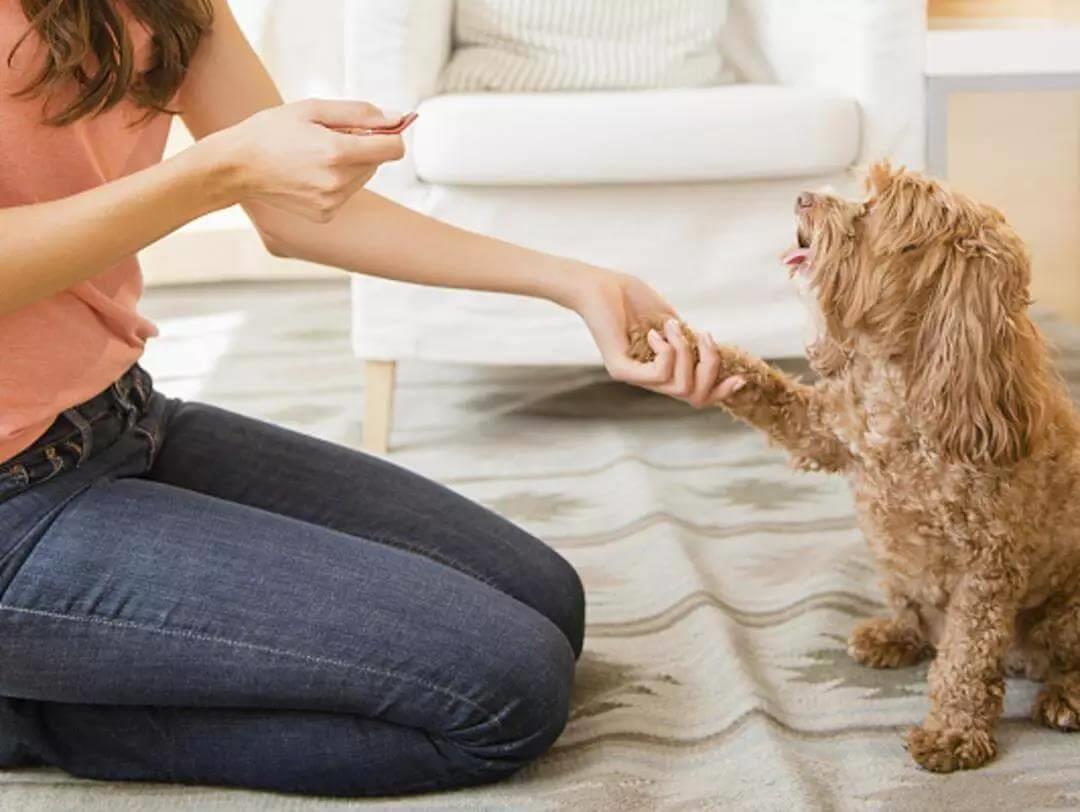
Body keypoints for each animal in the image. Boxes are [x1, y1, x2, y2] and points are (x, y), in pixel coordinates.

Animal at [630, 159, 1080, 773]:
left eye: (872, 214)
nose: (802, 197)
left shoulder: (989, 564)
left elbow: (965, 657)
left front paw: (952, 735)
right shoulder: (827, 428)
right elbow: (761, 384)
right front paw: (654, 338)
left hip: (1063, 611)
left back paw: (1066, 696)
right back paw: (896, 635)